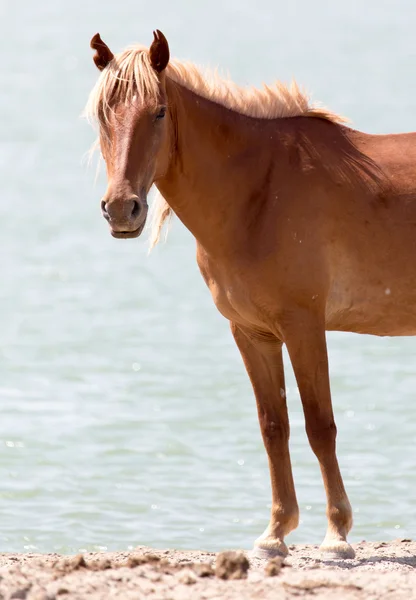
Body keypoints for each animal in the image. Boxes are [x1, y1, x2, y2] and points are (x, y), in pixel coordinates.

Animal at [83, 30, 416, 560]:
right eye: (101, 113)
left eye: (159, 111)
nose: (121, 210)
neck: (258, 192)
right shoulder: (251, 332)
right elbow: (273, 426)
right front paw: (275, 533)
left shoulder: (304, 327)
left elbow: (320, 426)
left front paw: (337, 535)